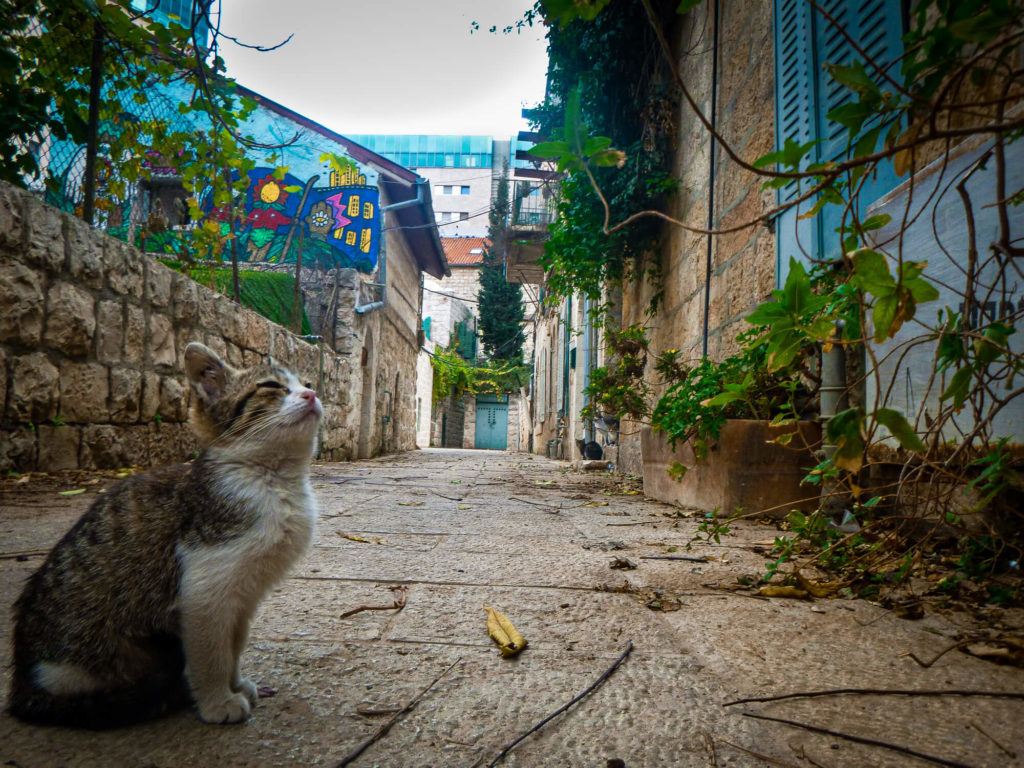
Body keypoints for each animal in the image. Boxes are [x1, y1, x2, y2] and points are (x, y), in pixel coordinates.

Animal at [7, 342, 319, 729]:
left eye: (308, 383)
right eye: (272, 387)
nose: (312, 395)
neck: (273, 479)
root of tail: (21, 688)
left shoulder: (245, 596)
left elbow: (234, 642)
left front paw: (235, 684)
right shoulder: (203, 589)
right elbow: (211, 651)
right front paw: (217, 700)